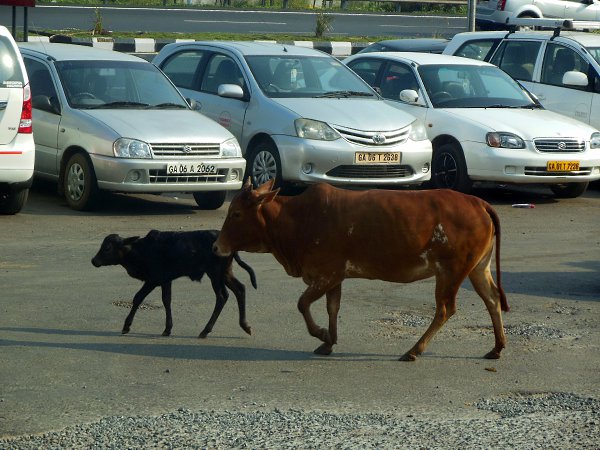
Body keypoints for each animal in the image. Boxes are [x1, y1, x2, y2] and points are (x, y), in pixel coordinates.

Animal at [92, 229, 257, 338]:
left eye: (107, 248)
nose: (94, 261)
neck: (141, 250)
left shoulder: (153, 279)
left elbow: (138, 298)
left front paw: (127, 326)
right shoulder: (166, 280)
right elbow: (166, 300)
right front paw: (167, 328)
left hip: (215, 274)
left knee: (222, 296)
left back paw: (205, 330)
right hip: (225, 272)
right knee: (239, 289)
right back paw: (245, 325)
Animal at [213, 179, 509, 361]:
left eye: (236, 214)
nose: (217, 247)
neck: (296, 219)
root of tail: (478, 202)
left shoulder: (326, 274)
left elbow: (303, 304)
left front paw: (321, 334)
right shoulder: (335, 278)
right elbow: (332, 308)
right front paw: (329, 341)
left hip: (451, 271)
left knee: (445, 309)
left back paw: (414, 350)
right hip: (477, 268)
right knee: (492, 298)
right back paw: (497, 347)